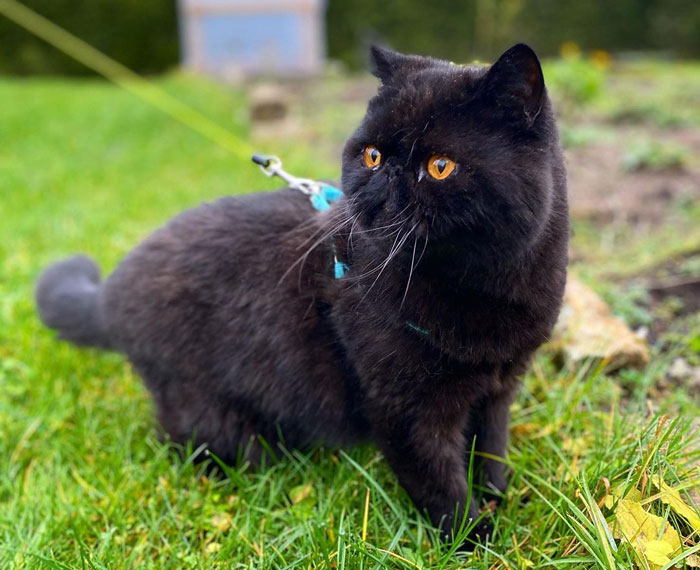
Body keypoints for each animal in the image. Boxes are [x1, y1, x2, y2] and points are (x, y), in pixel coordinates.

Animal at [35, 43, 568, 544]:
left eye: (440, 166)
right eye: (372, 155)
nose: (386, 175)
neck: (481, 286)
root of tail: (111, 291)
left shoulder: (499, 385)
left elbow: (490, 450)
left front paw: (501, 499)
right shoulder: (406, 408)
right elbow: (439, 480)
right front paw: (473, 539)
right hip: (207, 410)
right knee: (188, 440)